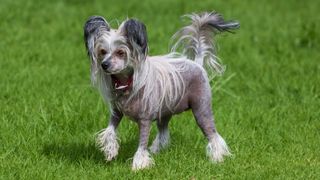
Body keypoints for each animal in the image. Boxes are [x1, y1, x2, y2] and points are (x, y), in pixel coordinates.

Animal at [84, 11, 239, 170]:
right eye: (103, 51)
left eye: (120, 52)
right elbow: (110, 130)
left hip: (201, 109)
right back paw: (156, 150)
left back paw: (217, 158)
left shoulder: (144, 120)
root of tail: (197, 63)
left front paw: (138, 165)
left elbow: (142, 144)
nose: (104, 65)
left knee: (212, 134)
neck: (127, 83)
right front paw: (110, 152)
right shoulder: (116, 113)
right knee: (163, 132)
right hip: (164, 112)